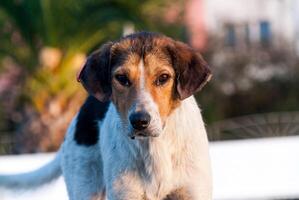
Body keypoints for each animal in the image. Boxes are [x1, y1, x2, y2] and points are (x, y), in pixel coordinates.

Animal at [0, 32, 216, 199]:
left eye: (163, 78)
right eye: (122, 78)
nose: (140, 121)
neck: (155, 147)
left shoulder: (191, 191)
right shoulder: (125, 193)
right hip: (85, 186)